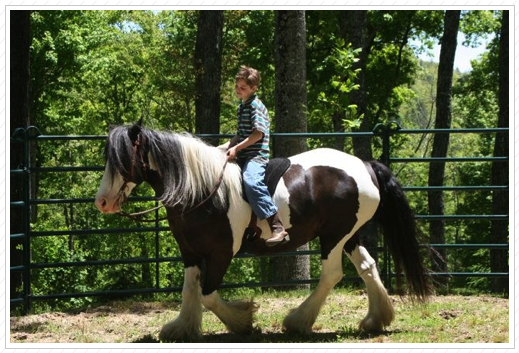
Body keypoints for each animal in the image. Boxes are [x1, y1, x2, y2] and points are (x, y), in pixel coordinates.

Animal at [95, 122, 428, 340]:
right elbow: (190, 290)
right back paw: (375, 320)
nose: (102, 202)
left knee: (332, 274)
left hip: (334, 237)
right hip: (348, 235)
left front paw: (243, 320)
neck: (202, 189)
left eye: (123, 160)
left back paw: (298, 321)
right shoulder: (189, 252)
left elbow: (208, 296)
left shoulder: (221, 253)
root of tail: (366, 166)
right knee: (367, 266)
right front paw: (182, 328)